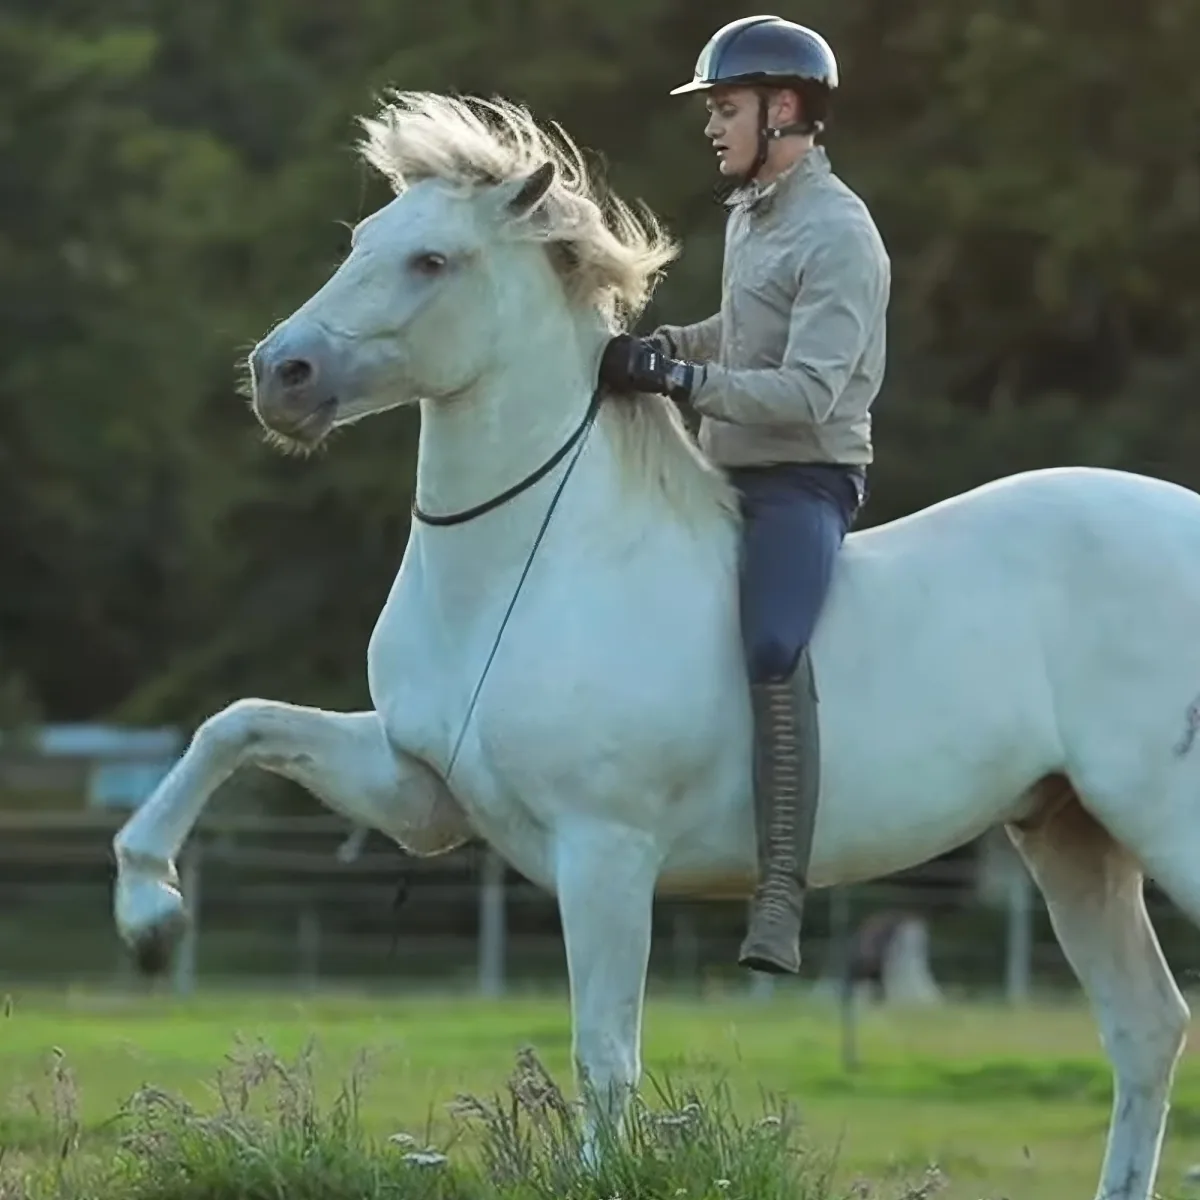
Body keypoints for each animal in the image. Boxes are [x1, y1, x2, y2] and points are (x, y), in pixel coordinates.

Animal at [111, 90, 1200, 1199]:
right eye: (362, 241)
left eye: (432, 261)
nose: (280, 375)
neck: (535, 560)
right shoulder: (418, 794)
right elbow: (238, 726)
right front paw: (149, 910)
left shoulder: (606, 854)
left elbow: (605, 1052)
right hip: (1072, 838)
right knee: (1146, 1029)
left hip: (1163, 825)